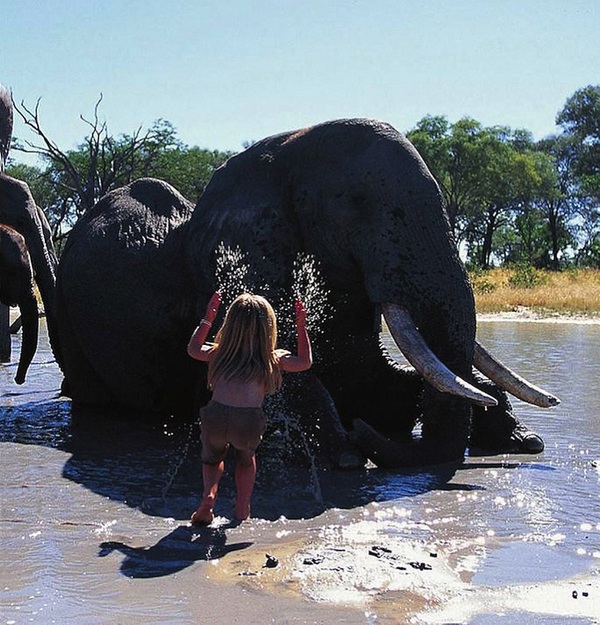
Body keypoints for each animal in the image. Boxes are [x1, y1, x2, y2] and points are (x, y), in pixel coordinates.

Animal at [56, 119, 556, 466]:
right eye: (354, 203)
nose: (360, 435)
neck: (287, 147)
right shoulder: (232, 266)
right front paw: (348, 456)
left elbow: (374, 376)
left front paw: (524, 439)